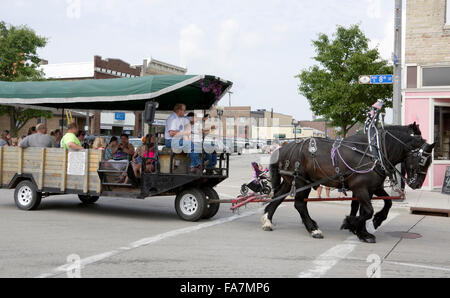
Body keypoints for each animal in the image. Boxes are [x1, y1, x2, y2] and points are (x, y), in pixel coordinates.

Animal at [266, 127, 434, 243]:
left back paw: (267, 220)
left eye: (430, 161)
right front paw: (351, 224)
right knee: (300, 204)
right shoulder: (360, 188)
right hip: (301, 181)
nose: (417, 184)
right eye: (422, 160)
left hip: (291, 181)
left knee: (278, 197)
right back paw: (313, 229)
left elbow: (385, 203)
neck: (374, 153)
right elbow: (368, 211)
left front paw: (368, 228)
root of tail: (283, 148)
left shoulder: (372, 188)